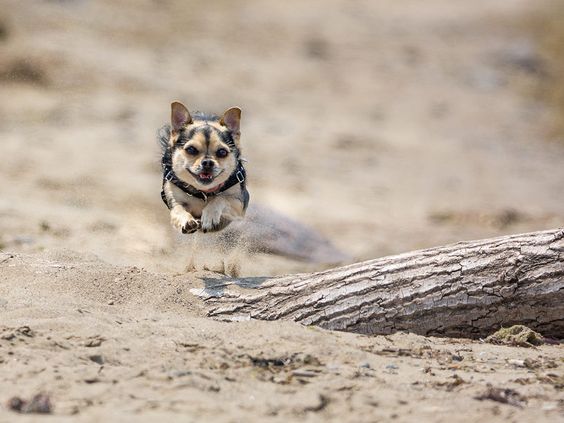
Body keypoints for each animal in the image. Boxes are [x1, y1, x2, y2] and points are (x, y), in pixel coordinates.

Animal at [158, 102, 248, 235]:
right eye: (191, 150)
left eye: (222, 152)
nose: (207, 162)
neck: (203, 192)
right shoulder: (173, 200)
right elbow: (178, 209)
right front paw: (186, 221)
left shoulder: (239, 203)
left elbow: (221, 198)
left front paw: (210, 216)